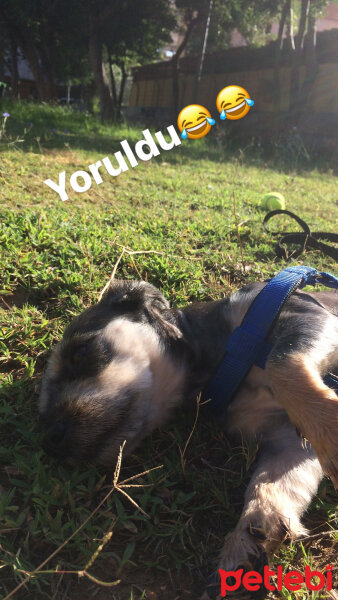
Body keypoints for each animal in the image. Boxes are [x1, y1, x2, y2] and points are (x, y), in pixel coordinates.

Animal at [39, 278, 338, 596]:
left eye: (80, 353)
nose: (51, 440)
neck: (218, 366)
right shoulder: (286, 439)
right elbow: (271, 485)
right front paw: (245, 546)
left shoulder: (308, 315)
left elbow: (279, 362)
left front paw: (330, 426)